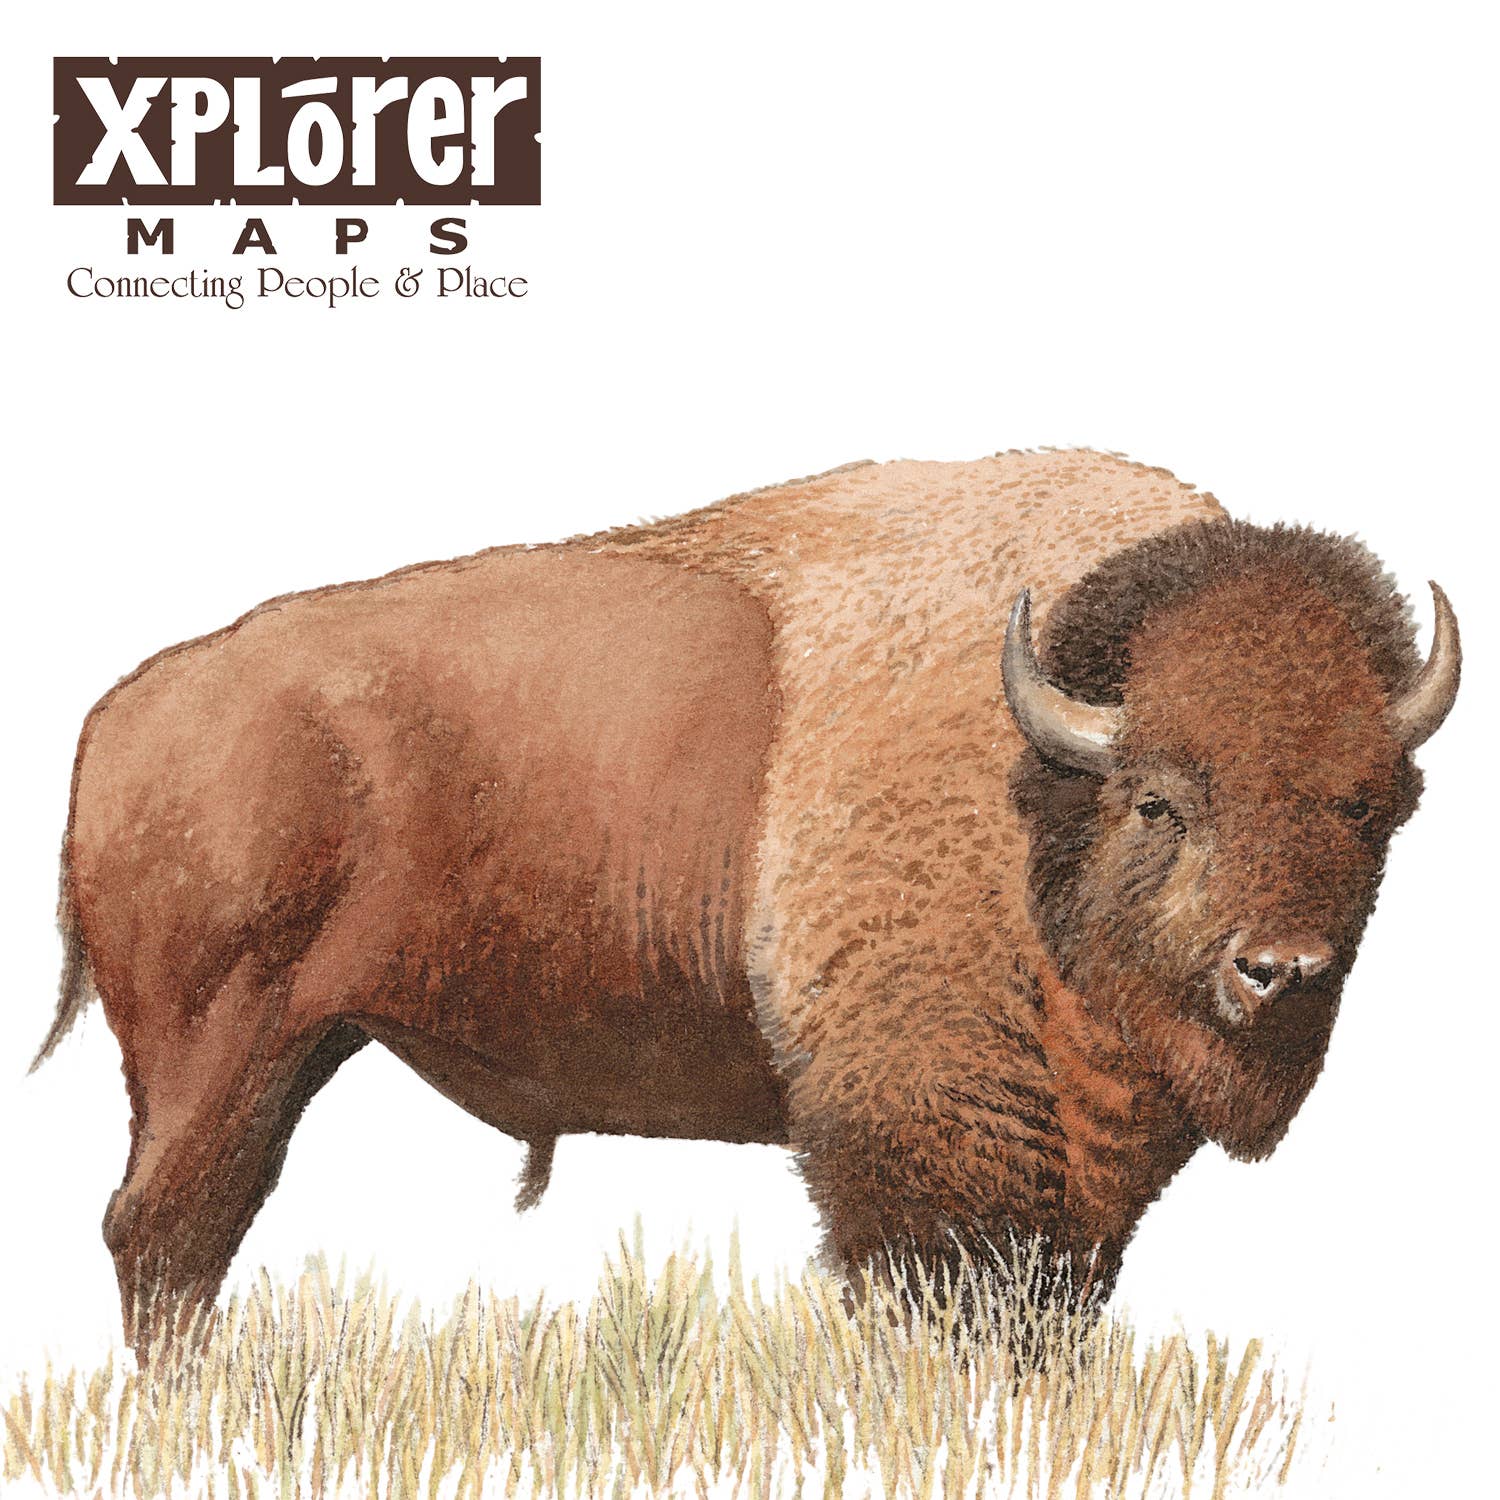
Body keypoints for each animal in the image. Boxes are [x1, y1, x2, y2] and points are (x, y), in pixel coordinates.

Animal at [34, 451, 1460, 1350]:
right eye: (1161, 800)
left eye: (1365, 803)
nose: (1279, 971)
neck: (1039, 779)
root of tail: (121, 720)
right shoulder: (926, 1142)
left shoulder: (1080, 1174)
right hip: (214, 1051)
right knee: (163, 1235)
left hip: (292, 1049)